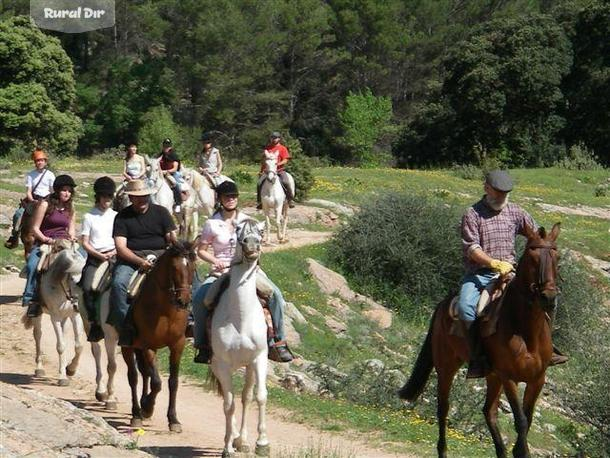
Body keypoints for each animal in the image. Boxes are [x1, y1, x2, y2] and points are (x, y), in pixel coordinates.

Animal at [22, 243, 86, 386]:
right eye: (72, 279)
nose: (78, 304)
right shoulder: (55, 317)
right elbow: (61, 346)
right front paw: (63, 377)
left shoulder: (75, 316)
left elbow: (79, 346)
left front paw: (70, 370)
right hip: (38, 313)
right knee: (38, 335)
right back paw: (39, 368)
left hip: (65, 317)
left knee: (63, 335)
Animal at [119, 240, 195, 432]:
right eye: (174, 268)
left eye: (193, 266)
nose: (183, 301)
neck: (165, 312)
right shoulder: (148, 345)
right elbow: (157, 382)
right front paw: (147, 407)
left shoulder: (178, 345)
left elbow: (173, 382)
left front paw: (173, 419)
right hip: (128, 347)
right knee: (134, 376)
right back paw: (137, 413)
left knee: (144, 373)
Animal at [396, 223, 560, 458]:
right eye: (532, 257)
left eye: (556, 256)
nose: (548, 297)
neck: (527, 333)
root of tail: (442, 305)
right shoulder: (509, 377)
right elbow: (520, 421)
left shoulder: (537, 379)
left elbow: (526, 421)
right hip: (447, 366)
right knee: (443, 408)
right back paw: (442, 450)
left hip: (492, 375)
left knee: (488, 412)